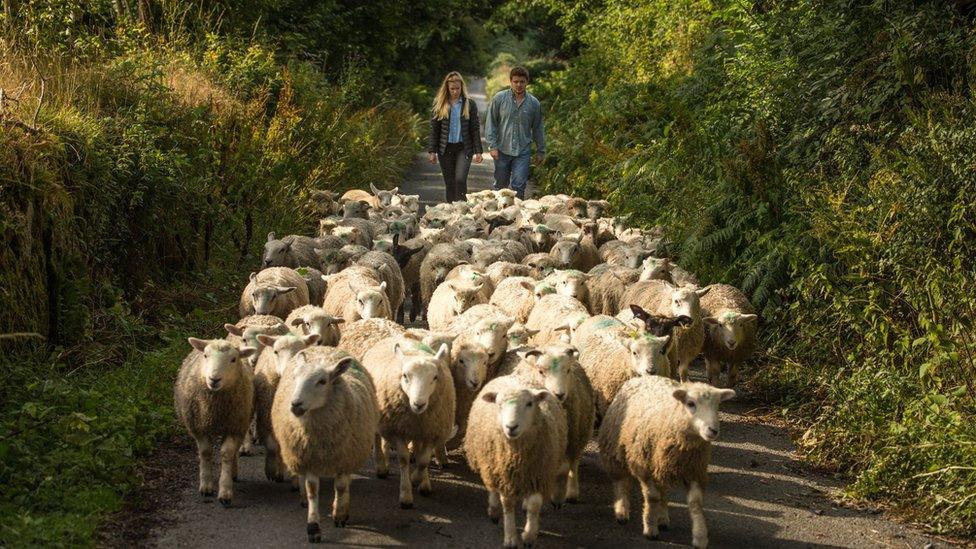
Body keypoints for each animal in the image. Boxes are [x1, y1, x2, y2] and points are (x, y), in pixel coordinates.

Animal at [173, 338, 255, 506]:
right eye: (205, 355)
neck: (215, 407)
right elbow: (206, 452)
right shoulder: (199, 427)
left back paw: (233, 472)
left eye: (233, 359)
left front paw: (225, 491)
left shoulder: (234, 427)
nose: (214, 379)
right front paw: (206, 486)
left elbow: (227, 453)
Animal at [250, 330, 318, 480]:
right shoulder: (265, 414)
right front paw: (271, 471)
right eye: (276, 351)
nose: (289, 370)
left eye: (301, 351)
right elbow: (271, 446)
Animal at [360, 340, 456, 508]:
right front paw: (406, 494)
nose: (419, 404)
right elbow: (404, 459)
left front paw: (418, 480)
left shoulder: (431, 431)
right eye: (405, 375)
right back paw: (381, 466)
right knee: (377, 438)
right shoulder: (397, 431)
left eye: (435, 377)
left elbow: (423, 460)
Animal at [464, 376, 568, 548]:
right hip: (490, 462)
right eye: (499, 404)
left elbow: (534, 505)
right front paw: (511, 538)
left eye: (529, 403)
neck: (518, 457)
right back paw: (494, 510)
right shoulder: (505, 474)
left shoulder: (538, 474)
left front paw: (529, 536)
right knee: (492, 487)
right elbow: (507, 504)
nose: (511, 427)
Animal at [600, 374, 736, 544]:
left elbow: (696, 504)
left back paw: (662, 518)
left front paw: (700, 537)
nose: (713, 430)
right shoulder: (645, 466)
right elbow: (652, 497)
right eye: (691, 404)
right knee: (620, 481)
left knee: (663, 490)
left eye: (717, 405)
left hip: (662, 465)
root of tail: (646, 376)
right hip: (614, 446)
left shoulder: (694, 470)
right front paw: (650, 529)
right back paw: (622, 511)